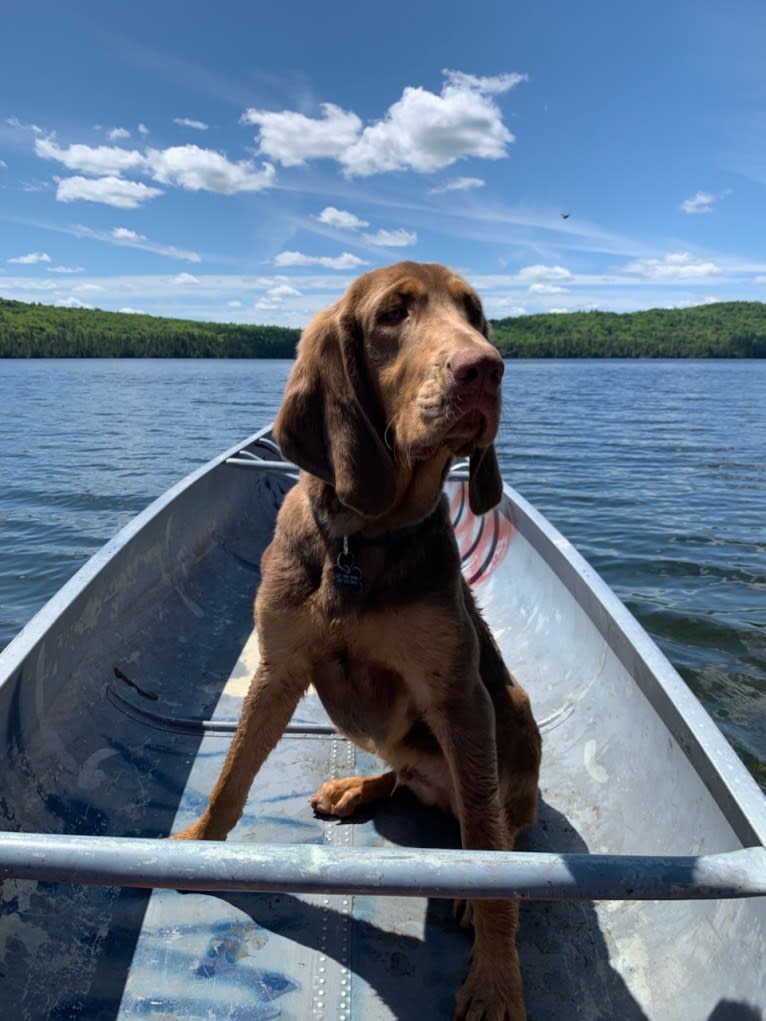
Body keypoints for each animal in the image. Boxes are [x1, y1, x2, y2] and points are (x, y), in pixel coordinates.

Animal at [176, 261, 543, 1021]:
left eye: (475, 314)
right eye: (393, 315)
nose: (486, 368)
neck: (362, 538)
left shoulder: (460, 695)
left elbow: (492, 856)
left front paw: (496, 978)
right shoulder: (278, 668)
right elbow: (230, 777)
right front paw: (198, 847)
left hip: (512, 708)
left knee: (499, 821)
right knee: (406, 774)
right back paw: (356, 787)